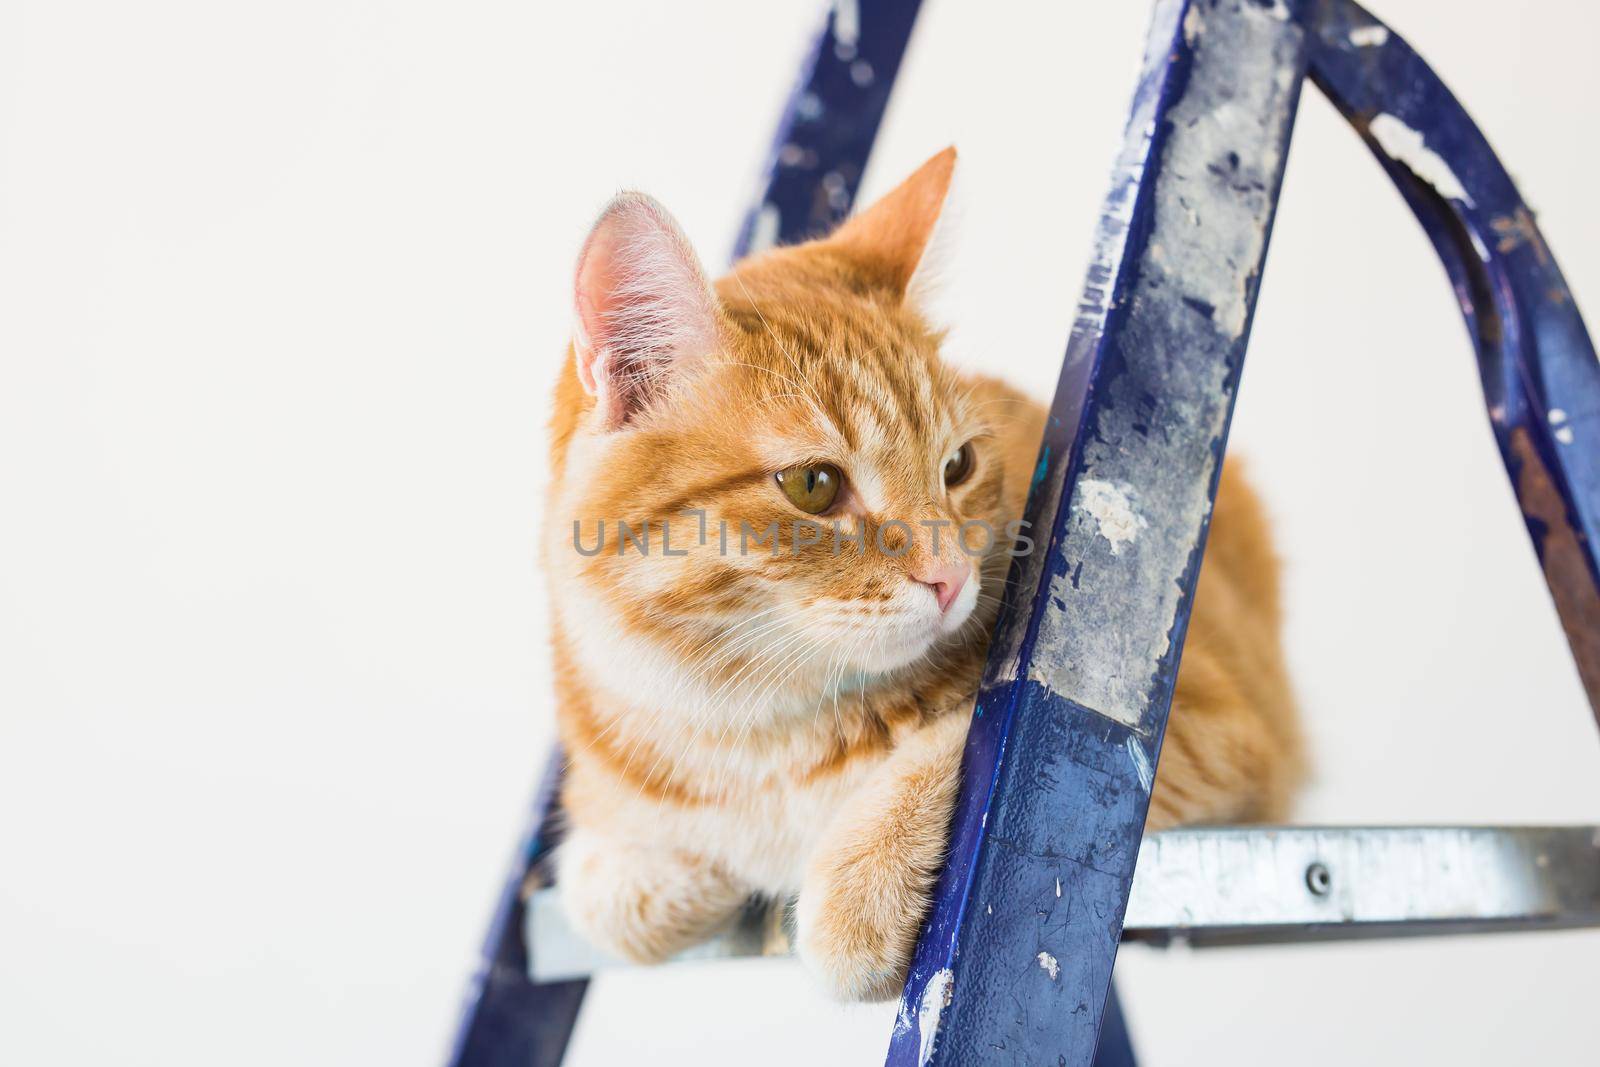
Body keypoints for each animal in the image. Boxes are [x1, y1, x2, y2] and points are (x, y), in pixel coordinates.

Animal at [544, 147, 1305, 1004]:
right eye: (813, 484)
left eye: (959, 465)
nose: (950, 577)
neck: (758, 735)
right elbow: (602, 895)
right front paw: (679, 875)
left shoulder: (1184, 734)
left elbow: (965, 745)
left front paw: (860, 881)